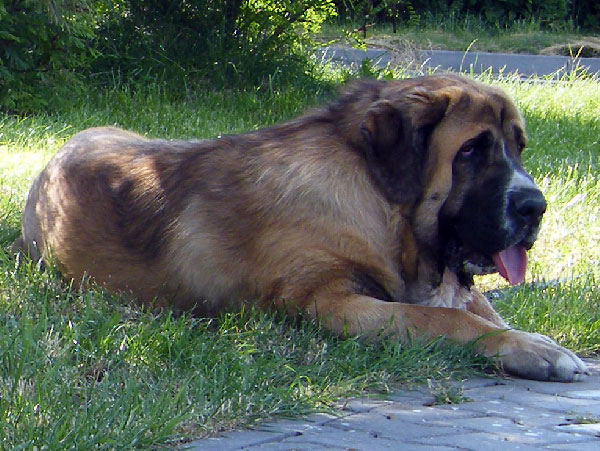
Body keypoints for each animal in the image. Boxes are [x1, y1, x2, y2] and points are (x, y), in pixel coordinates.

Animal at [11, 74, 588, 382]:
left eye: (518, 146)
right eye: (471, 150)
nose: (536, 207)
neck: (376, 200)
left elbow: (478, 308)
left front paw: (540, 341)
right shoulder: (332, 303)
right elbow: (451, 320)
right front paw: (536, 350)